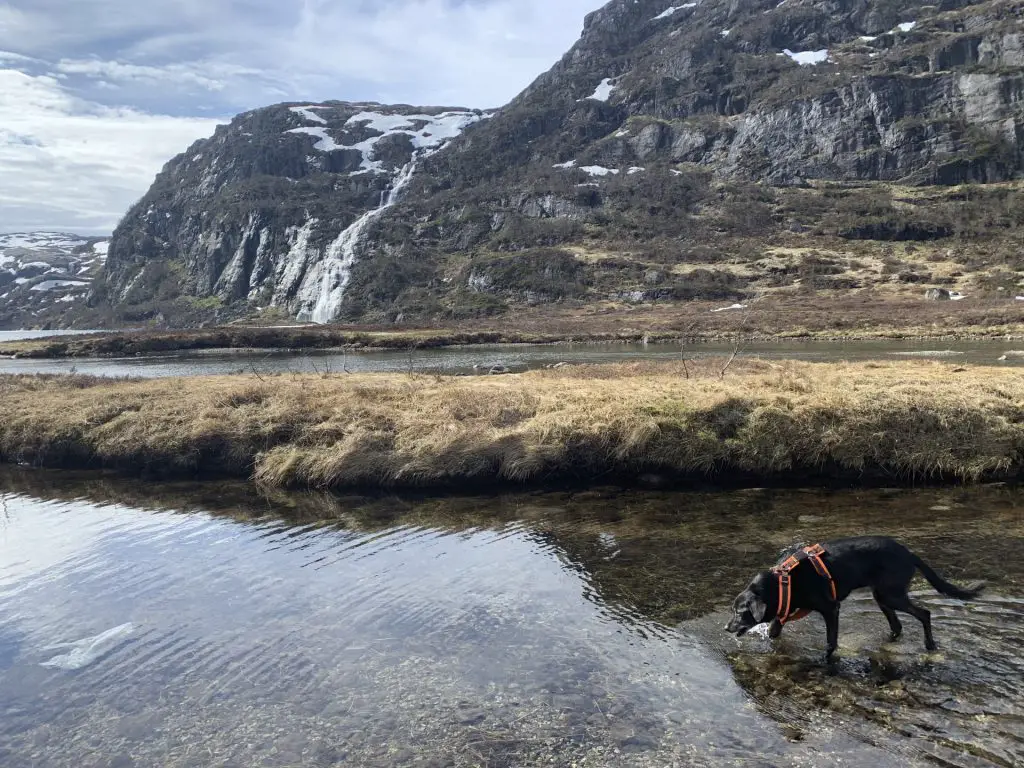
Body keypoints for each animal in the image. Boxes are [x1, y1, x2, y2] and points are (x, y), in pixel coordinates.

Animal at [729, 536, 983, 659]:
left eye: (740, 613)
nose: (725, 627)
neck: (784, 581)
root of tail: (910, 554)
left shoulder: (831, 608)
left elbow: (831, 641)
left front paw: (826, 660)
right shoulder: (785, 608)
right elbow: (774, 631)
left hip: (891, 595)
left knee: (924, 613)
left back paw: (930, 645)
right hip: (882, 596)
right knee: (897, 626)